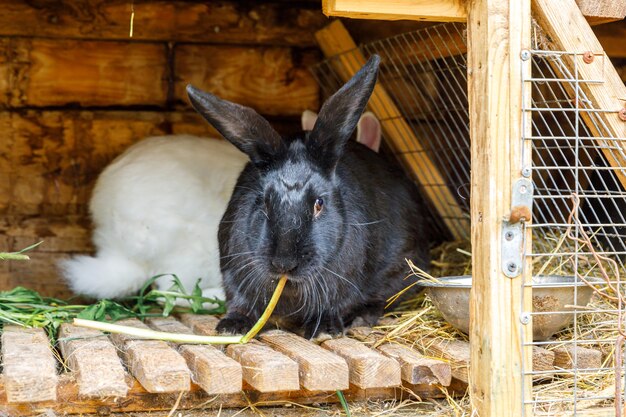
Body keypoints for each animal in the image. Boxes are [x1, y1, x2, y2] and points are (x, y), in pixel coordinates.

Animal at [186, 54, 428, 338]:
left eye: (319, 204)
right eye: (264, 203)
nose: (284, 263)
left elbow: (336, 305)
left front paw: (325, 329)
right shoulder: (233, 275)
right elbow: (239, 302)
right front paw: (231, 326)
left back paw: (360, 317)